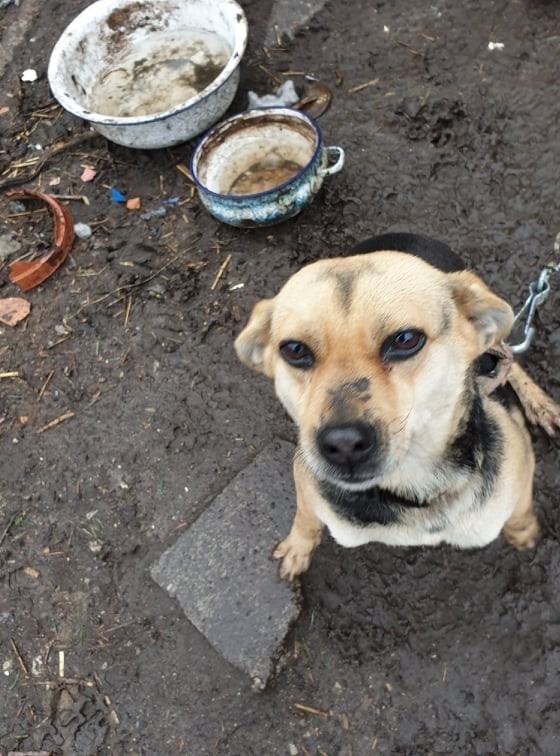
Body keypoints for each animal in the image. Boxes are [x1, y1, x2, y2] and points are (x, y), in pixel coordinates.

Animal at [234, 235, 556, 580]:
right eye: (294, 349)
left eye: (405, 339)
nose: (343, 444)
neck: (412, 489)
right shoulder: (305, 474)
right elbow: (305, 517)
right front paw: (298, 548)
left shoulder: (521, 463)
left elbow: (520, 512)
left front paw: (523, 531)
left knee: (509, 356)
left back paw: (540, 404)